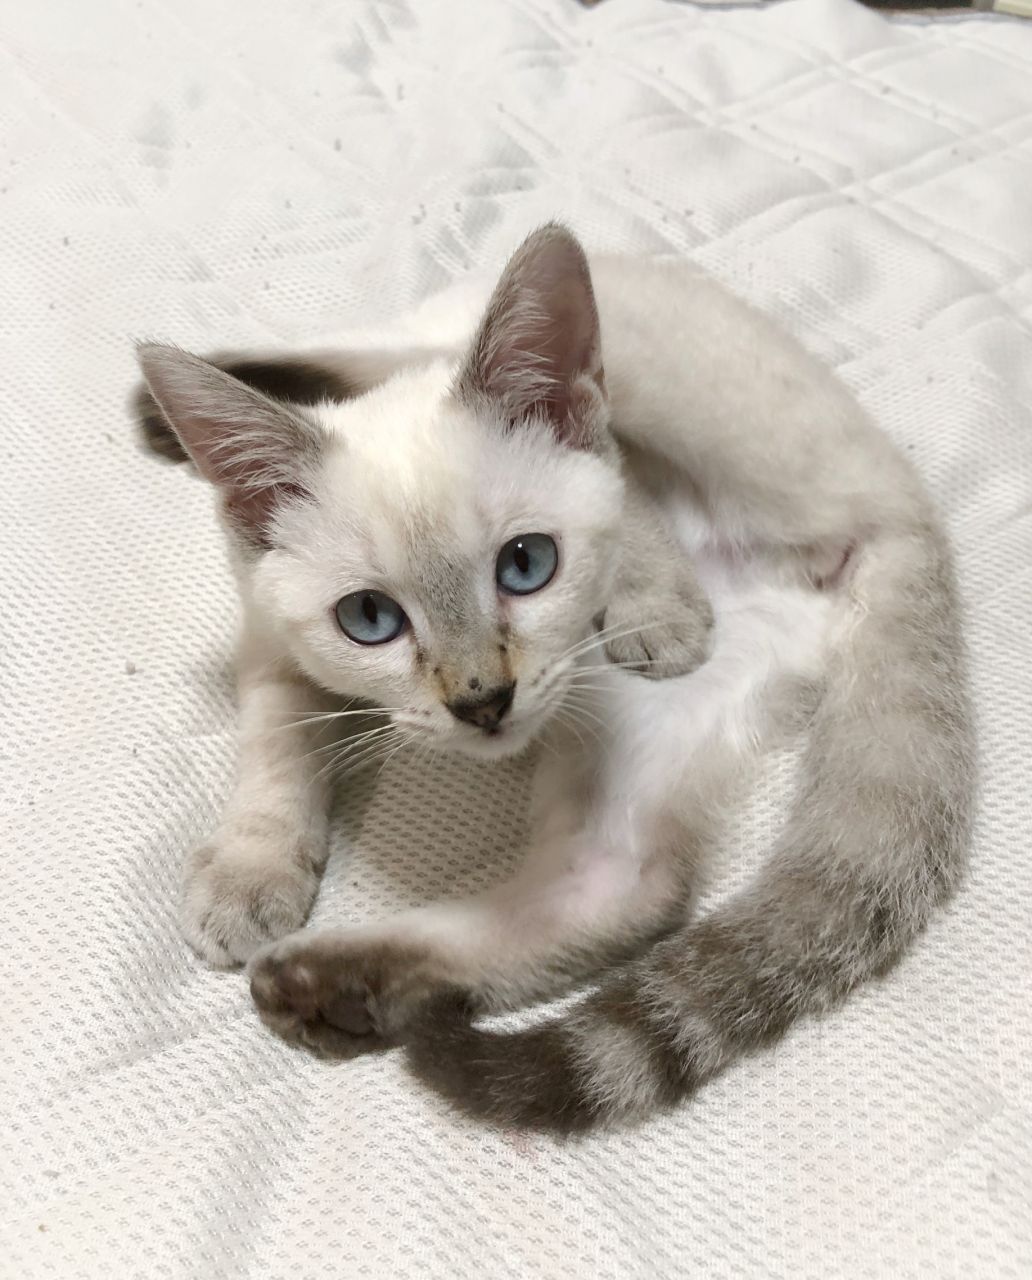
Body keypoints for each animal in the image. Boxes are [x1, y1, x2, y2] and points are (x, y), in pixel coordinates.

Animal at [135, 224, 974, 1134]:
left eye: (527, 565)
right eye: (369, 618)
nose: (482, 700)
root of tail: (913, 524)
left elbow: (619, 486)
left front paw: (653, 606)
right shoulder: (271, 639)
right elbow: (278, 747)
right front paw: (249, 878)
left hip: (680, 394)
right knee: (618, 886)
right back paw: (334, 989)